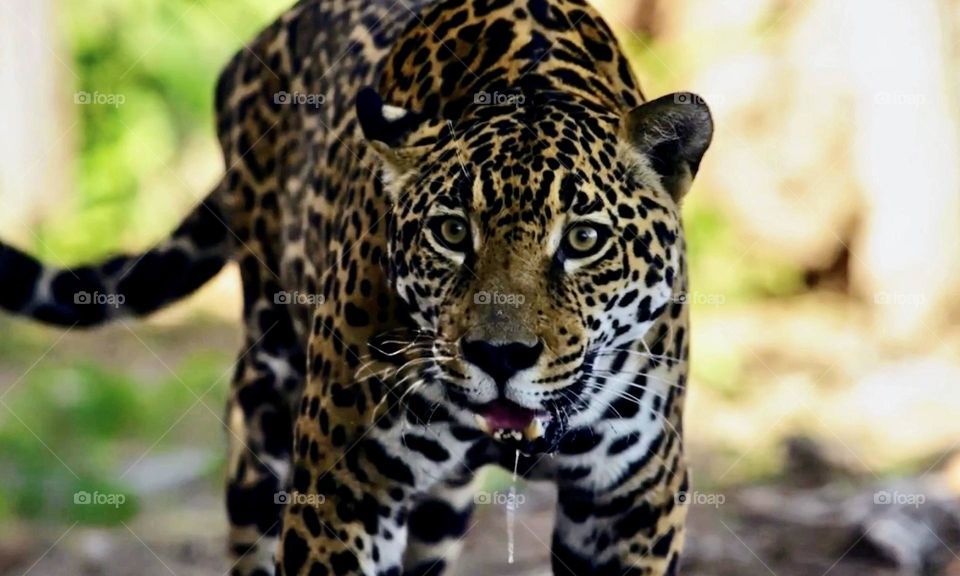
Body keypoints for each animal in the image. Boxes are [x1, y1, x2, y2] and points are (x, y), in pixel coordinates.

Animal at [0, 0, 713, 574]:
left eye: (584, 240)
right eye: (452, 231)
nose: (500, 357)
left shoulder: (630, 503)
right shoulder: (344, 497)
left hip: (438, 509)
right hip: (263, 413)